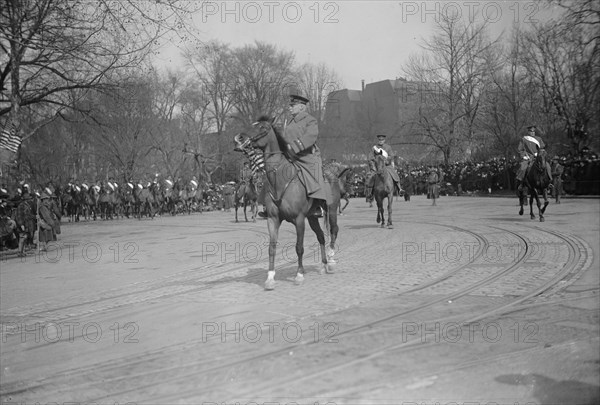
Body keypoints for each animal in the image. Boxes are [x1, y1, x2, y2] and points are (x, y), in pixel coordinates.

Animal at [239, 117, 342, 290]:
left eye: (263, 127)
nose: (240, 138)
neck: (281, 179)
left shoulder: (299, 220)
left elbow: (299, 247)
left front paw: (299, 275)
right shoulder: (273, 219)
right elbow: (272, 248)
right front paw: (270, 278)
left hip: (332, 210)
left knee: (333, 231)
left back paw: (331, 259)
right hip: (312, 217)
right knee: (321, 236)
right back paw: (323, 264)